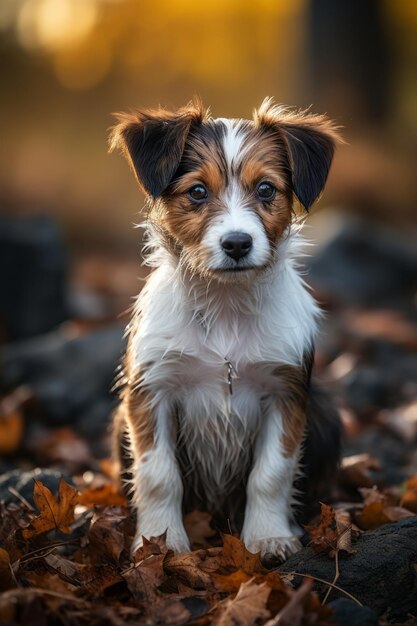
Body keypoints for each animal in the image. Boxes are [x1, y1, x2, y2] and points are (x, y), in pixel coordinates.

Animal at [110, 98, 342, 560]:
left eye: (266, 189)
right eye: (198, 192)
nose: (237, 244)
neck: (225, 305)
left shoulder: (285, 393)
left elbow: (271, 473)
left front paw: (268, 537)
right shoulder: (151, 390)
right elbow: (158, 475)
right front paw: (160, 541)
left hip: (327, 414)